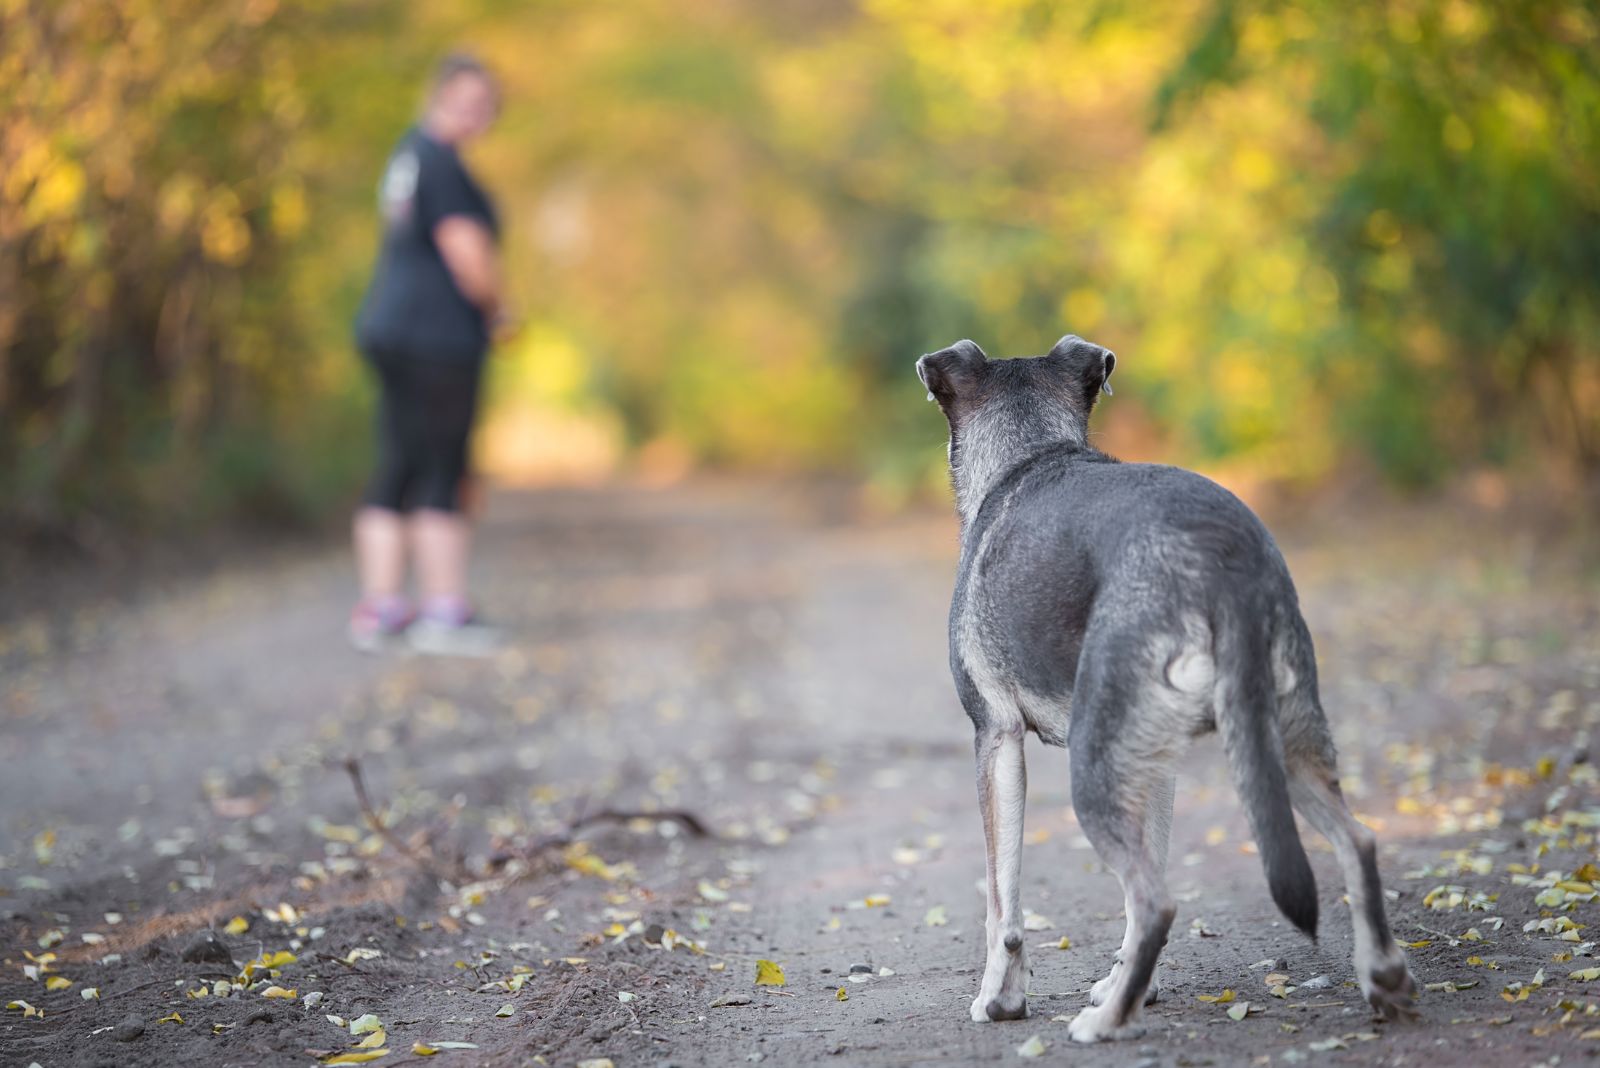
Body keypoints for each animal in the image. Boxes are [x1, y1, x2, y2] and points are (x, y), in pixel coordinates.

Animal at [921, 335, 1420, 1042]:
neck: (1029, 454)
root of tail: (1222, 561)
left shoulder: (996, 737)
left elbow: (1003, 901)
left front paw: (1002, 998)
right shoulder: (1157, 761)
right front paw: (1130, 985)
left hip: (1095, 768)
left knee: (1156, 900)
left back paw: (1104, 1024)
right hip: (1275, 743)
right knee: (1358, 840)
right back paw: (1384, 978)